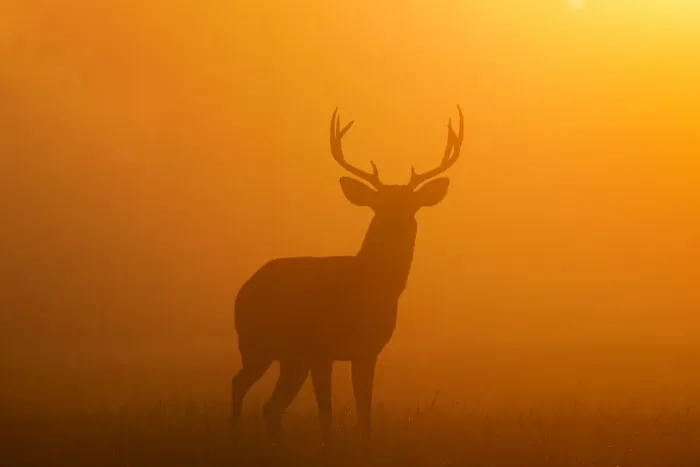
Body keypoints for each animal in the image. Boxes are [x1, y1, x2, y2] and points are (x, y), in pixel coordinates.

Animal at [231, 105, 465, 445]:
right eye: (378, 205)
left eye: (412, 206)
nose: (397, 223)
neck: (364, 286)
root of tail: (244, 289)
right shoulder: (320, 349)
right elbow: (326, 413)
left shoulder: (368, 350)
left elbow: (364, 411)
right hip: (256, 343)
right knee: (239, 385)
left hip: (289, 357)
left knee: (271, 406)